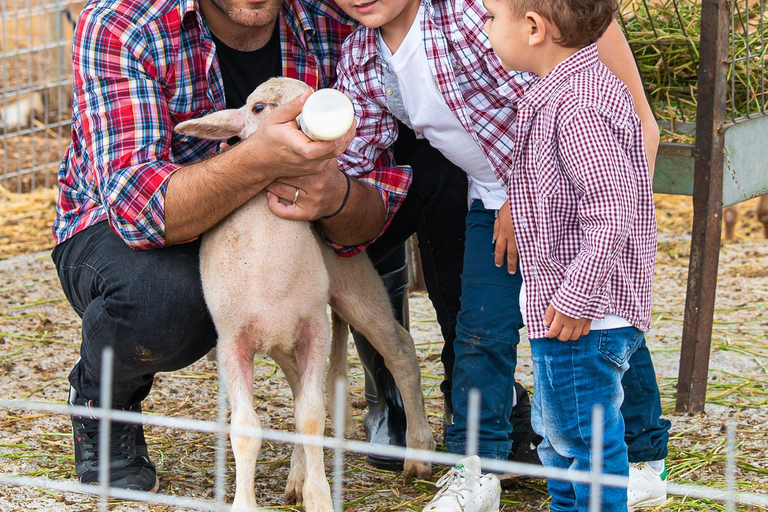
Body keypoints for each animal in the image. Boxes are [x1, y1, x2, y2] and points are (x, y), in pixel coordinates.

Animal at [176, 78, 436, 512]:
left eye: (313, 91)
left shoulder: (314, 328)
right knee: (301, 386)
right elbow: (246, 429)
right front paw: (247, 502)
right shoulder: (232, 342)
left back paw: (418, 453)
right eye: (259, 107)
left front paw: (319, 499)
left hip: (353, 283)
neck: (268, 271)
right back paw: (297, 476)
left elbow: (311, 417)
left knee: (399, 352)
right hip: (281, 339)